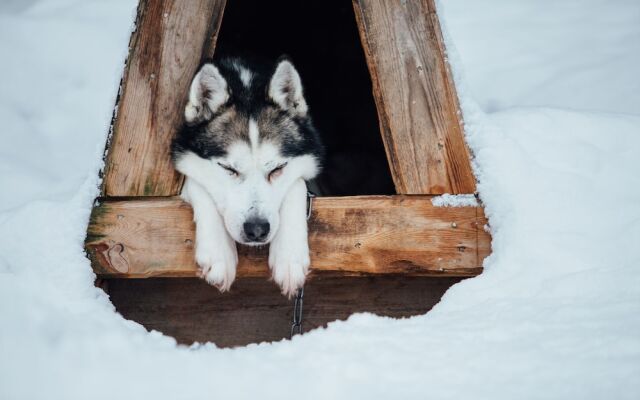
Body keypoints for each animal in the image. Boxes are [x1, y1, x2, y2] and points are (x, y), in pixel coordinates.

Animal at [170, 56, 322, 296]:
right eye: (228, 169)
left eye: (277, 169)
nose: (257, 230)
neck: (245, 81)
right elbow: (196, 183)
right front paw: (219, 251)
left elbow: (298, 185)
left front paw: (290, 255)